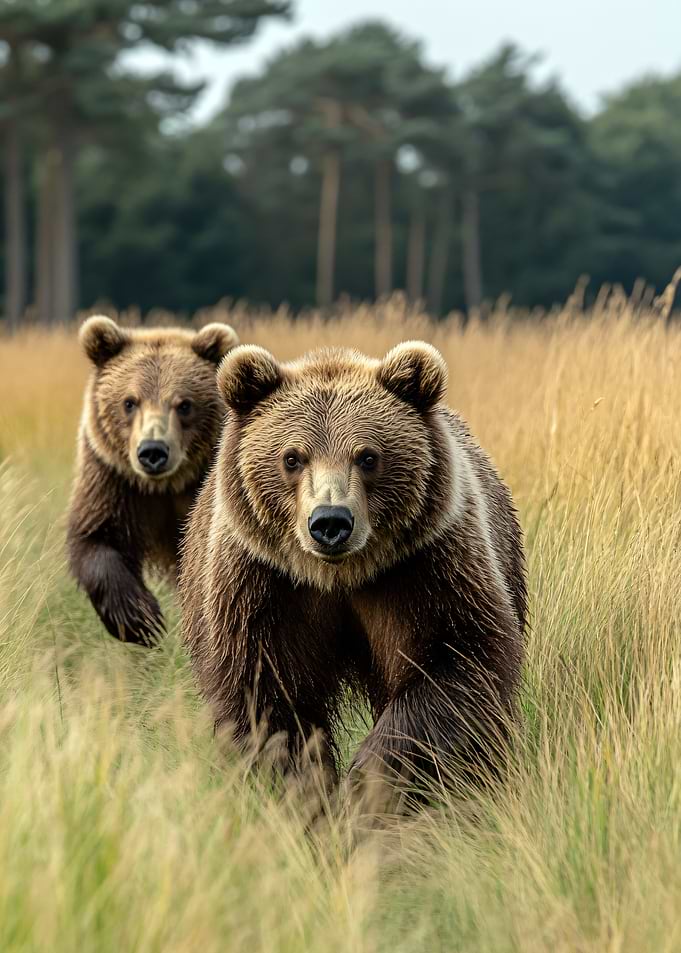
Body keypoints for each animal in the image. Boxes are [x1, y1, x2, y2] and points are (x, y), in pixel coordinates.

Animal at [67, 315, 238, 646]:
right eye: (129, 402)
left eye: (184, 404)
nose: (153, 451)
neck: (167, 485)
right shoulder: (112, 477)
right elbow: (96, 538)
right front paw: (140, 620)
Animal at [179, 341, 527, 798]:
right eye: (292, 457)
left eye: (367, 455)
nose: (330, 521)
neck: (340, 577)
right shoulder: (262, 585)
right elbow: (264, 696)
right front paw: (305, 788)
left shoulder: (428, 569)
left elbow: (458, 661)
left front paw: (369, 778)